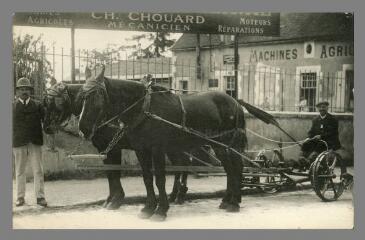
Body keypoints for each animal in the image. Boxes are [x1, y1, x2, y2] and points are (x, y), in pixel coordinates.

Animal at [77, 66, 247, 220]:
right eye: (82, 96)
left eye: (97, 94)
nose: (83, 128)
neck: (144, 108)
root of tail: (235, 101)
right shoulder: (141, 150)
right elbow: (147, 178)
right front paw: (148, 208)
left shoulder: (157, 149)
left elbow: (159, 179)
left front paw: (161, 210)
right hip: (218, 146)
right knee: (230, 170)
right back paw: (226, 201)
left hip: (230, 144)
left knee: (237, 168)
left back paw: (234, 203)